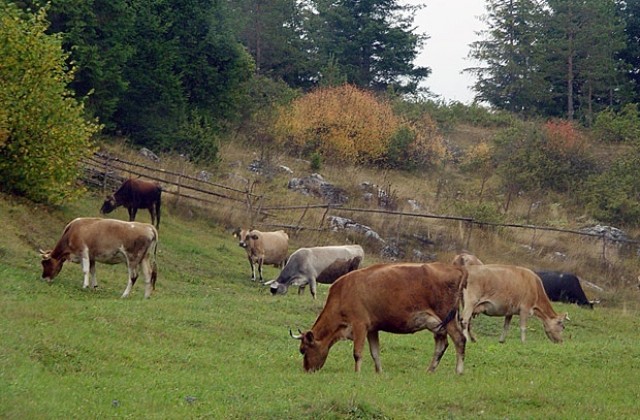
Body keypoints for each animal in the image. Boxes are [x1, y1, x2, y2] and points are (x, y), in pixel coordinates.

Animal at [288, 262, 464, 374]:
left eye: (303, 350)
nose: (307, 370)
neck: (342, 293)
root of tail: (456, 269)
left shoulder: (359, 324)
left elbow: (357, 352)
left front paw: (357, 374)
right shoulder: (372, 328)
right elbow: (375, 352)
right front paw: (379, 372)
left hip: (448, 318)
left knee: (459, 339)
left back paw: (459, 371)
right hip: (437, 325)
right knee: (442, 344)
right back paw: (430, 370)